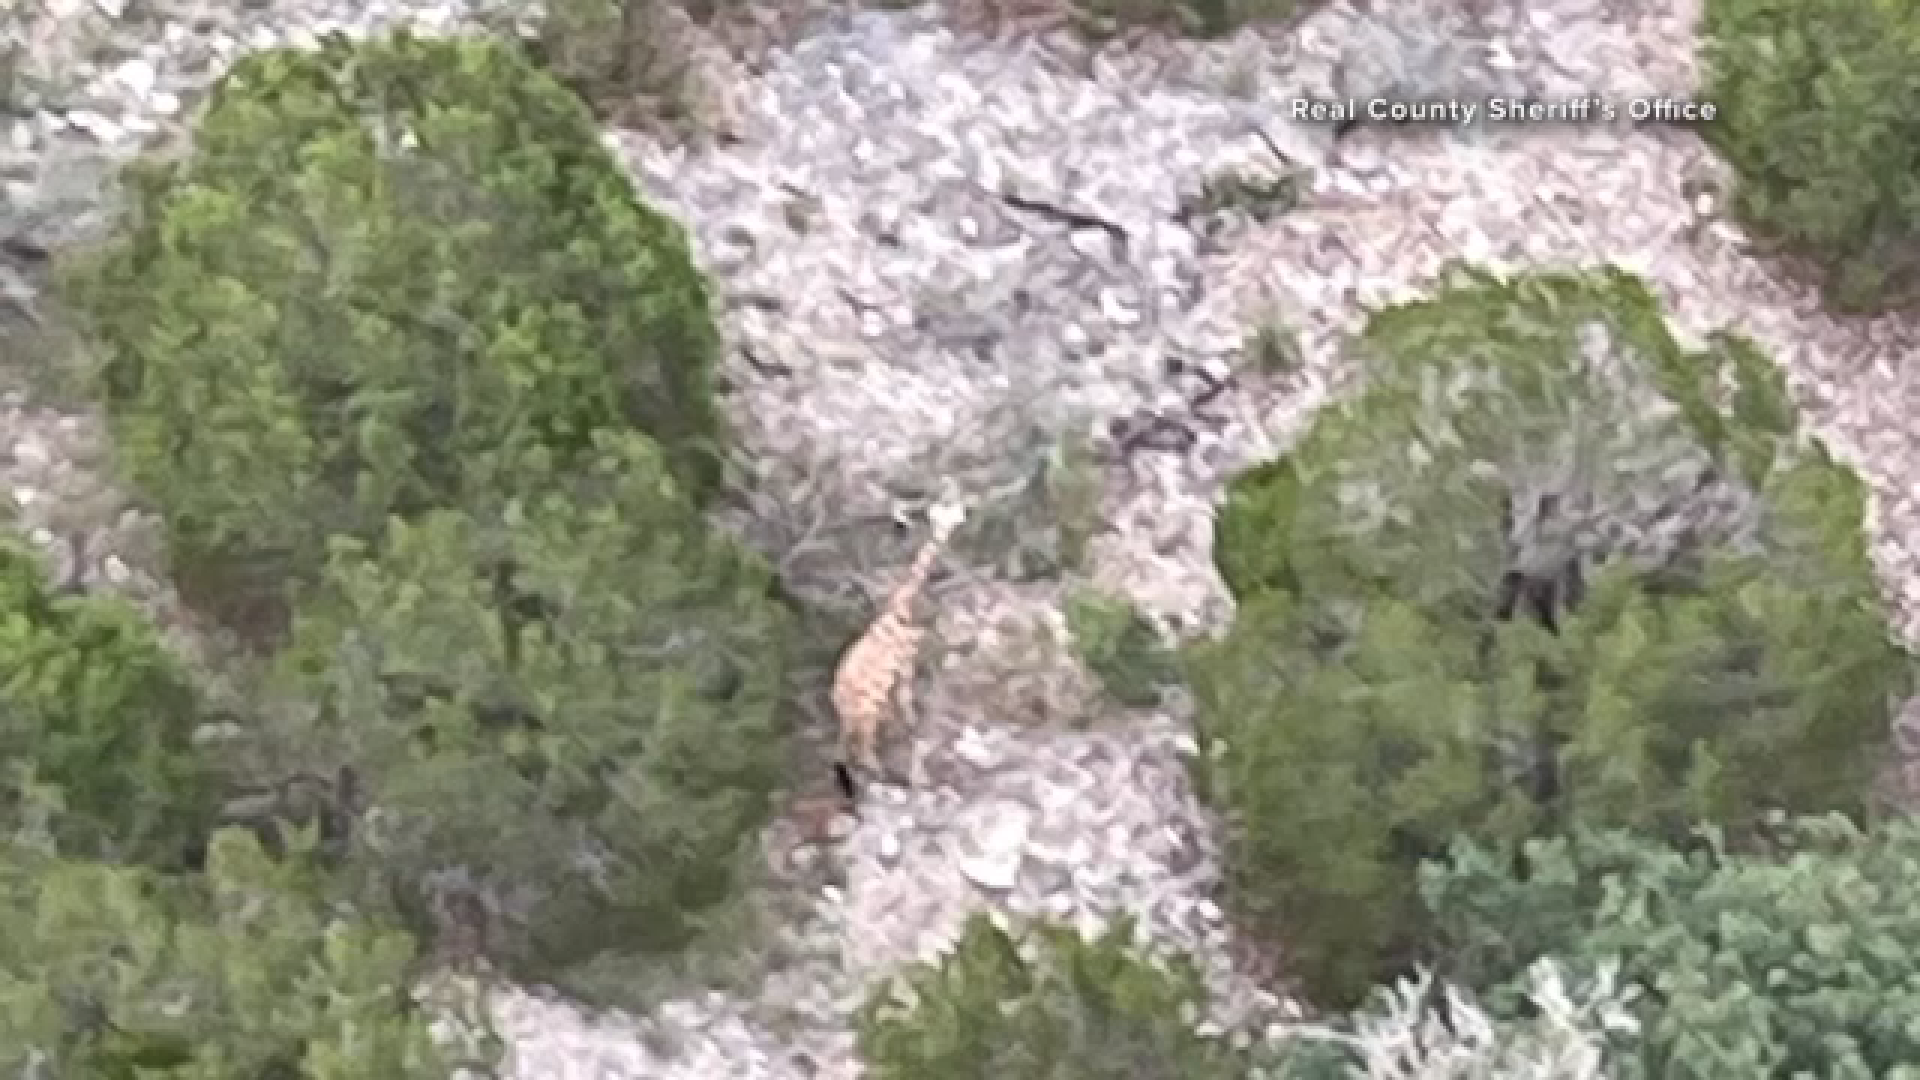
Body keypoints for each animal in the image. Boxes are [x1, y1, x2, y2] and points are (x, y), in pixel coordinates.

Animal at [832, 499, 966, 789]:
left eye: (953, 514)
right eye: (945, 517)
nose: (961, 518)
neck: (901, 608)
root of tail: (837, 695)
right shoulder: (908, 655)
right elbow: (905, 695)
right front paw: (912, 722)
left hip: (855, 714)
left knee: (849, 742)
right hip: (865, 710)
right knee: (863, 743)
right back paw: (876, 771)